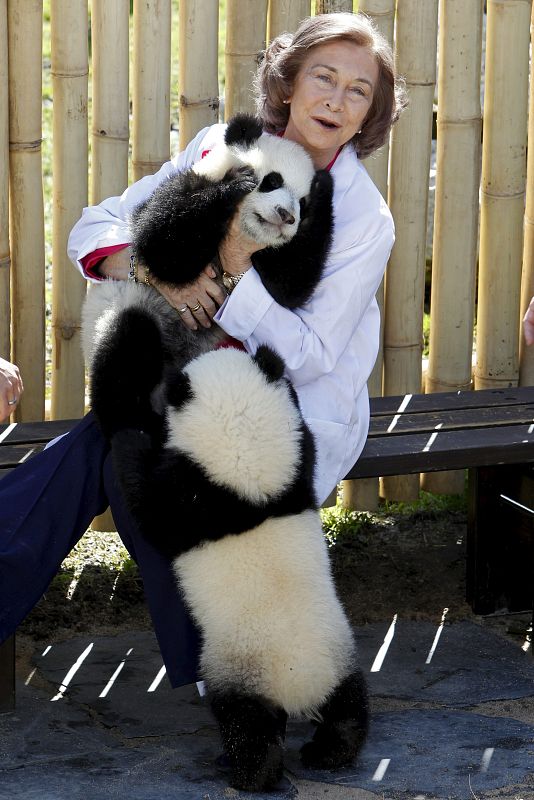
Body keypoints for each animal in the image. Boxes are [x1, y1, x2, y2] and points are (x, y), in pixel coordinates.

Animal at [81, 113, 334, 436]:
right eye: (272, 181)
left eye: (302, 203)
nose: (286, 216)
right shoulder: (185, 185)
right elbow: (161, 247)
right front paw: (235, 186)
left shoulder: (275, 256)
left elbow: (290, 288)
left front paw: (324, 186)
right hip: (123, 309)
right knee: (125, 346)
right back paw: (131, 425)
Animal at [105, 344, 369, 793]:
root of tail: (298, 688)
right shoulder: (296, 468)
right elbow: (306, 444)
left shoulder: (190, 495)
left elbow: (150, 503)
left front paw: (129, 438)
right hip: (337, 654)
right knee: (349, 705)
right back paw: (331, 751)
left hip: (240, 669)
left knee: (246, 726)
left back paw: (250, 774)